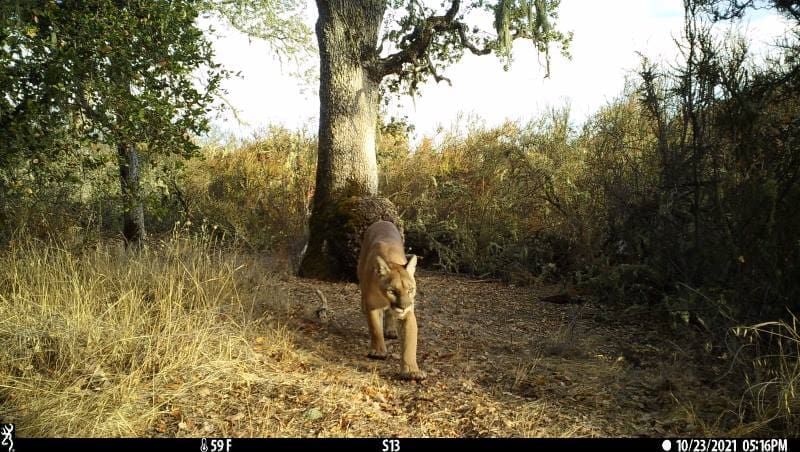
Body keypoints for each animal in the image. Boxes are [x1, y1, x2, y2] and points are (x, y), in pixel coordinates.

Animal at [357, 220, 426, 381]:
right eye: (392, 291)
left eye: (410, 290)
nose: (404, 306)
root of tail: (382, 221)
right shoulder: (373, 306)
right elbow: (375, 328)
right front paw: (378, 351)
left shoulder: (408, 314)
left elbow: (410, 343)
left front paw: (411, 370)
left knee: (389, 314)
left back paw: (390, 330)